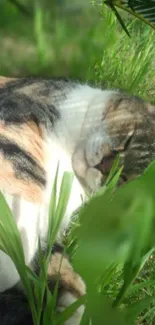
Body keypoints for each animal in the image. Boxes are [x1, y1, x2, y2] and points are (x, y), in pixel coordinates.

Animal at [0, 76, 154, 324]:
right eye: (129, 138)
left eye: (126, 180)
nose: (104, 166)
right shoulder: (20, 112)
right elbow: (25, 166)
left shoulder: (51, 230)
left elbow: (58, 260)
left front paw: (70, 308)